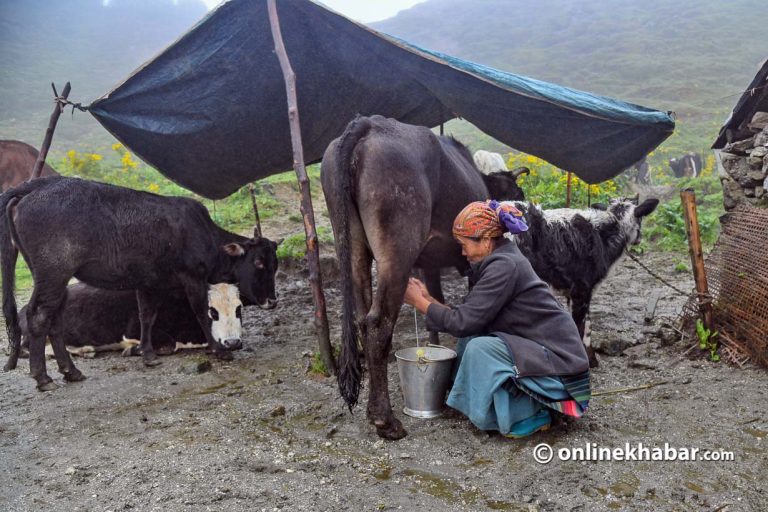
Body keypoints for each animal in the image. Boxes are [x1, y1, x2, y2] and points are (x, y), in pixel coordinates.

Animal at [18, 282, 243, 358]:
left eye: (238, 308)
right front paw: (133, 349)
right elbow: (168, 344)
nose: (233, 343)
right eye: (212, 311)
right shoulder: (133, 328)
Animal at [320, 115, 524, 440]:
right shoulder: (470, 261)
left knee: (363, 319)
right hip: (398, 246)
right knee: (378, 324)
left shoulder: (429, 263)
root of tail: (367, 124)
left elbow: (434, 302)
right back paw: (385, 420)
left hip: (350, 243)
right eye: (517, 195)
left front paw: (435, 344)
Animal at [504, 196, 660, 368]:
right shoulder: (582, 288)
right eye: (641, 217)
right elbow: (580, 326)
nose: (639, 239)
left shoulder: (574, 292)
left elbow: (586, 327)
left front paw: (592, 360)